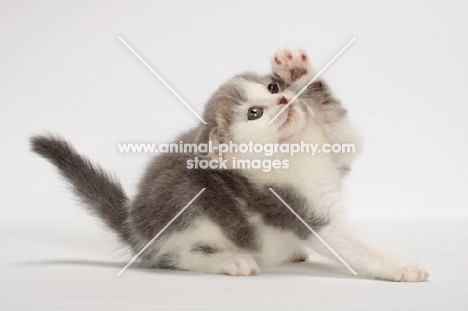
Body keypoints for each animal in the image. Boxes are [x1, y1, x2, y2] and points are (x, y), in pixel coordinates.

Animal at [31, 47, 428, 282]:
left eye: (271, 88)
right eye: (254, 113)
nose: (283, 99)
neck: (292, 147)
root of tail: (133, 225)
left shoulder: (339, 147)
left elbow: (344, 126)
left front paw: (299, 71)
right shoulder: (296, 207)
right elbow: (356, 246)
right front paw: (400, 266)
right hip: (185, 201)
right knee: (170, 257)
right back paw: (228, 261)